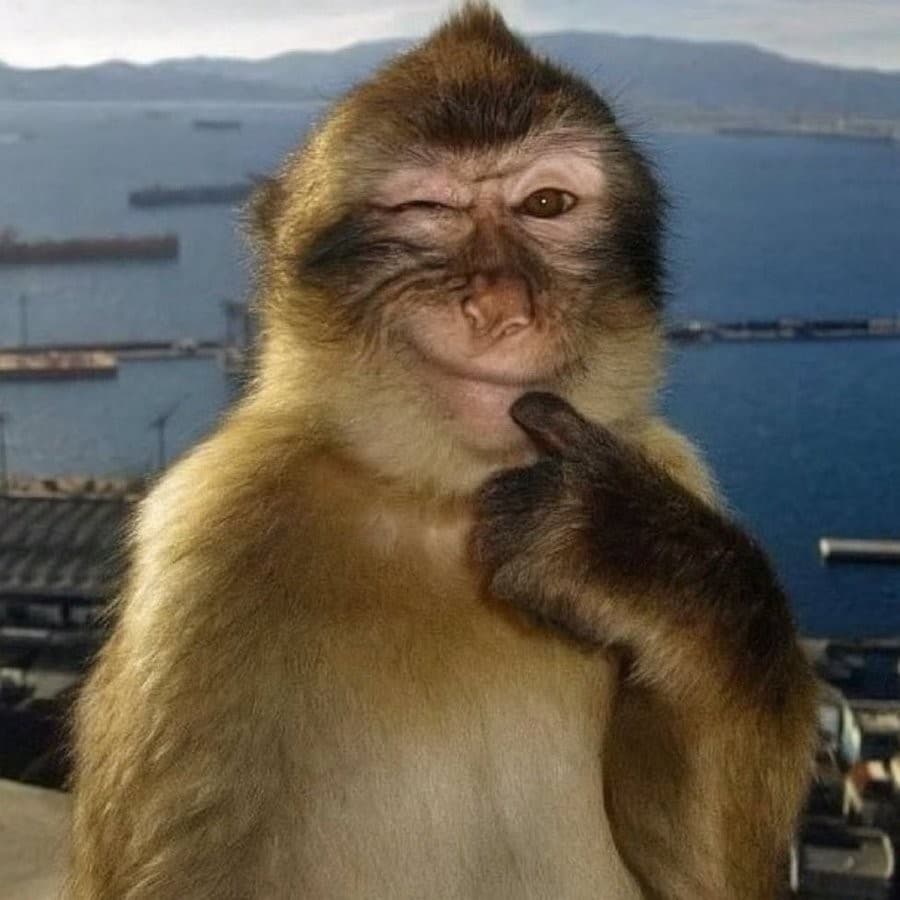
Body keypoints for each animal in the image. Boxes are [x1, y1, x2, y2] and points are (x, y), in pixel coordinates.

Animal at [68, 4, 817, 899]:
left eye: (548, 203)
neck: (443, 499)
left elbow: (697, 882)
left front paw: (633, 554)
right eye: (427, 206)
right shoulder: (209, 536)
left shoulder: (668, 466)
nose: (499, 304)